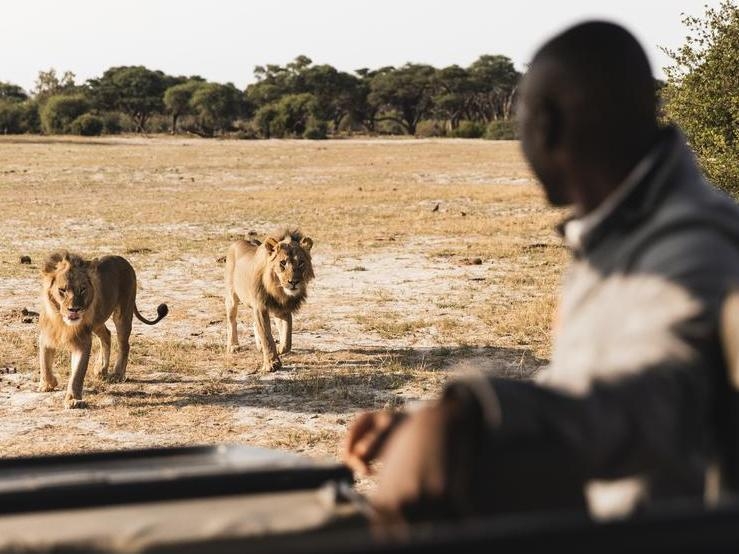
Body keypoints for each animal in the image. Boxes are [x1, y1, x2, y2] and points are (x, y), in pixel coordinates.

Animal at [38, 251, 168, 408]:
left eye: (82, 289)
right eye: (62, 290)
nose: (75, 309)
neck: (61, 320)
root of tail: (122, 259)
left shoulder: (83, 341)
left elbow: (77, 374)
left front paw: (73, 399)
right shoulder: (46, 335)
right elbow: (44, 363)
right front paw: (47, 384)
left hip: (123, 313)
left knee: (124, 345)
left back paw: (117, 374)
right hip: (97, 321)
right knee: (107, 334)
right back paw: (101, 369)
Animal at [225, 229, 314, 372]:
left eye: (301, 263)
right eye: (282, 263)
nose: (294, 282)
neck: (278, 290)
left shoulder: (282, 310)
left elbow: (287, 339)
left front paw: (279, 349)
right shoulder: (260, 307)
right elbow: (267, 336)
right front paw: (272, 363)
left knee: (254, 324)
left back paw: (259, 346)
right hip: (231, 297)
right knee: (232, 322)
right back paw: (233, 346)